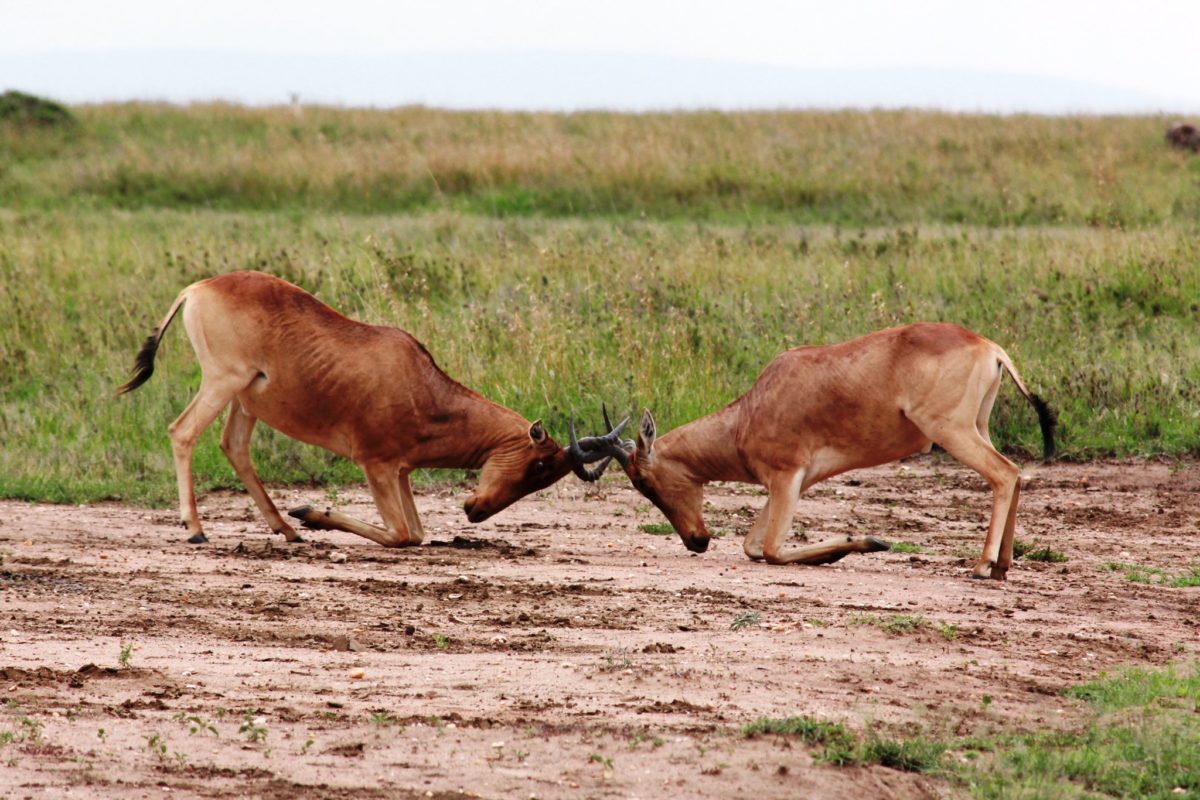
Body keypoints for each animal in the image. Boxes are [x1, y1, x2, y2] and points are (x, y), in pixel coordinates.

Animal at [114, 272, 619, 546]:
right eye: (539, 465)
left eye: (546, 476)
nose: (475, 510)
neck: (420, 383)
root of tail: (197, 288)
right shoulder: (374, 464)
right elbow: (402, 535)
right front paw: (312, 512)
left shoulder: (400, 472)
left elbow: (416, 533)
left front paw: (306, 515)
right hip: (223, 381)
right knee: (183, 432)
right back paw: (198, 529)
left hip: (246, 399)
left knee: (234, 447)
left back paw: (287, 530)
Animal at [576, 323, 1056, 582]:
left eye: (644, 482)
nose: (697, 541)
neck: (751, 409)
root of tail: (990, 348)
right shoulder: (791, 483)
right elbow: (753, 546)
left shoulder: (787, 477)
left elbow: (770, 550)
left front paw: (868, 541)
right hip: (978, 427)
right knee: (1016, 473)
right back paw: (1003, 566)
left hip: (951, 431)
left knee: (1003, 474)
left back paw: (981, 566)